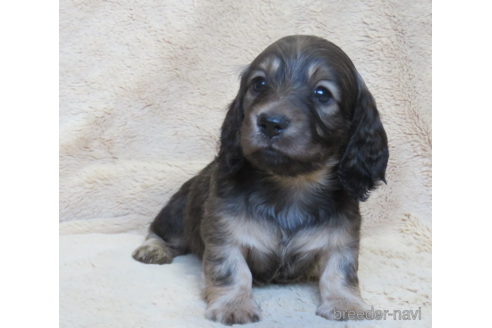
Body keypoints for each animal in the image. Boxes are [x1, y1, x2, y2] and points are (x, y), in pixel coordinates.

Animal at [131, 34, 388, 324]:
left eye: (322, 93)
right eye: (259, 83)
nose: (270, 122)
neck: (291, 185)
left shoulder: (342, 238)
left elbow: (341, 271)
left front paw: (347, 303)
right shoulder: (224, 235)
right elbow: (231, 270)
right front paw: (233, 305)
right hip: (176, 212)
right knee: (159, 232)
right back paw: (153, 249)